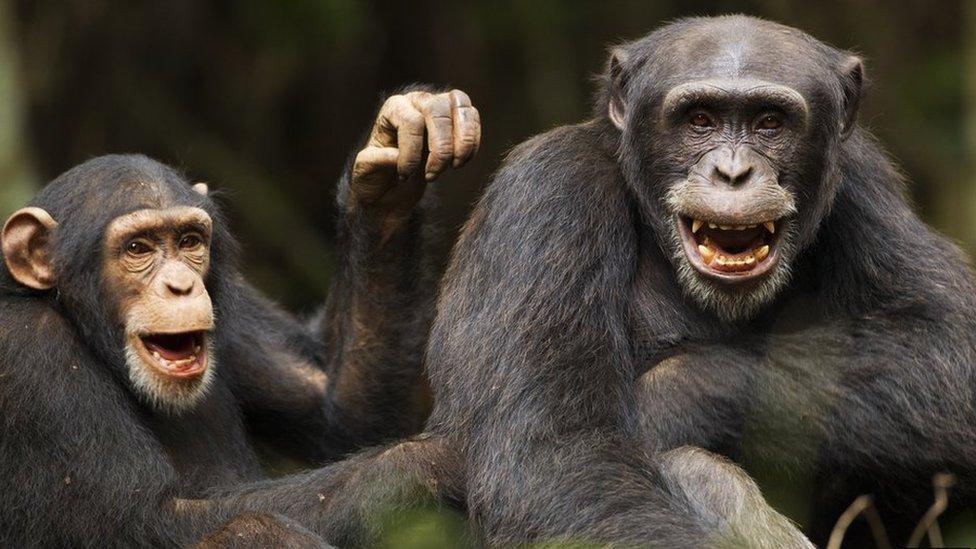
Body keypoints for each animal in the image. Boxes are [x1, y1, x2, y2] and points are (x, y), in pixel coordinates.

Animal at [0, 86, 480, 544]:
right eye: (138, 248)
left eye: (190, 241)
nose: (182, 284)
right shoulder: (30, 353)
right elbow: (150, 517)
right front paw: (439, 458)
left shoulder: (237, 307)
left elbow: (339, 409)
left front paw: (394, 155)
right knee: (251, 527)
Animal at [302, 15, 976, 544]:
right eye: (700, 119)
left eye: (769, 122)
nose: (734, 171)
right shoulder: (548, 194)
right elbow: (559, 462)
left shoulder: (865, 184)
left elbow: (948, 345)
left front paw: (663, 400)